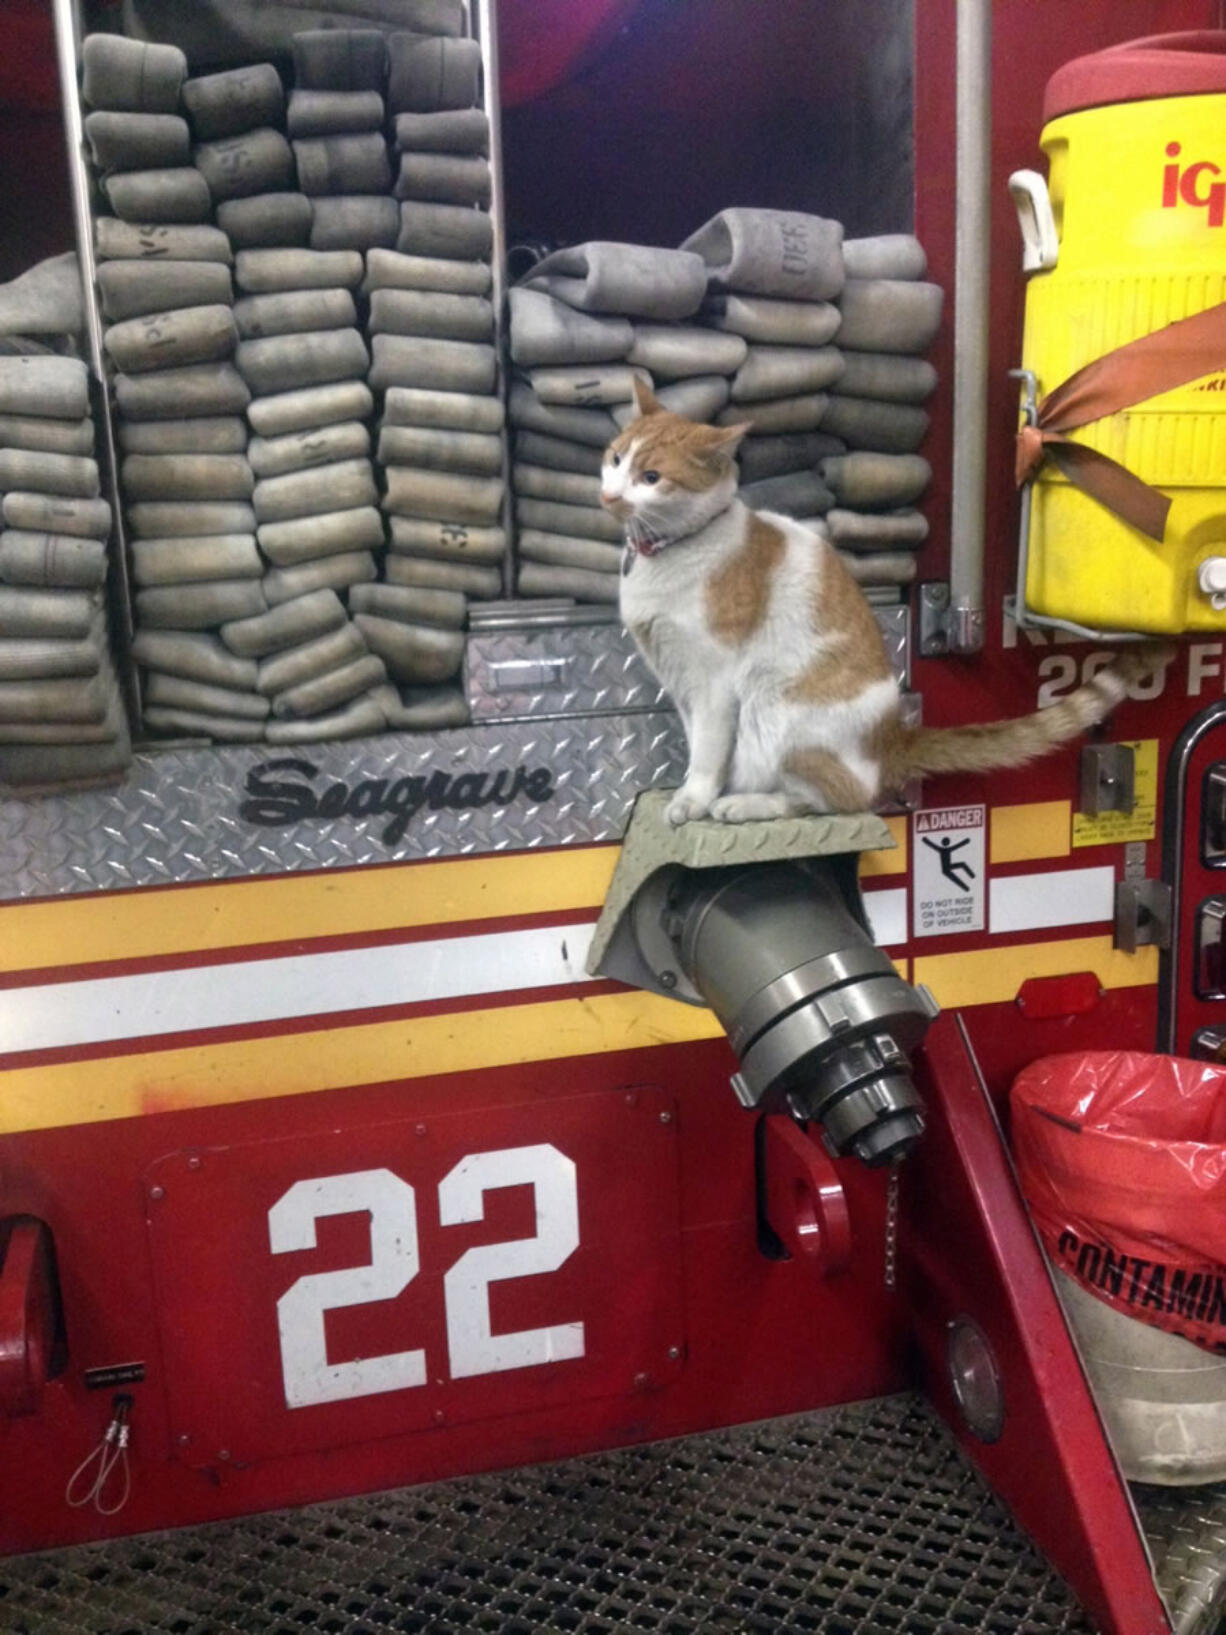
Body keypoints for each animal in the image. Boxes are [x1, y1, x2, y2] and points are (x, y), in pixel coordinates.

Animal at [604, 376, 1170, 824]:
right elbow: (697, 740)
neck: (664, 555)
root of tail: (895, 738)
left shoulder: (714, 682)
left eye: (651, 478)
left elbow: (708, 750)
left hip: (777, 714)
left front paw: (694, 799)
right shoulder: (679, 681)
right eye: (615, 458)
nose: (610, 496)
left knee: (838, 798)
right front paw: (689, 789)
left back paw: (744, 805)